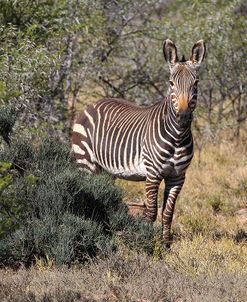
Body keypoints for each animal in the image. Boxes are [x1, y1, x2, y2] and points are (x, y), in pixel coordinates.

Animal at [72, 39, 206, 245]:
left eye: (196, 83)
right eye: (171, 83)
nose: (183, 117)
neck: (177, 137)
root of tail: (91, 105)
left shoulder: (177, 177)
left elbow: (168, 213)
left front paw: (166, 245)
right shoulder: (152, 173)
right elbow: (151, 212)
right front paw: (145, 243)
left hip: (107, 170)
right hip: (85, 162)